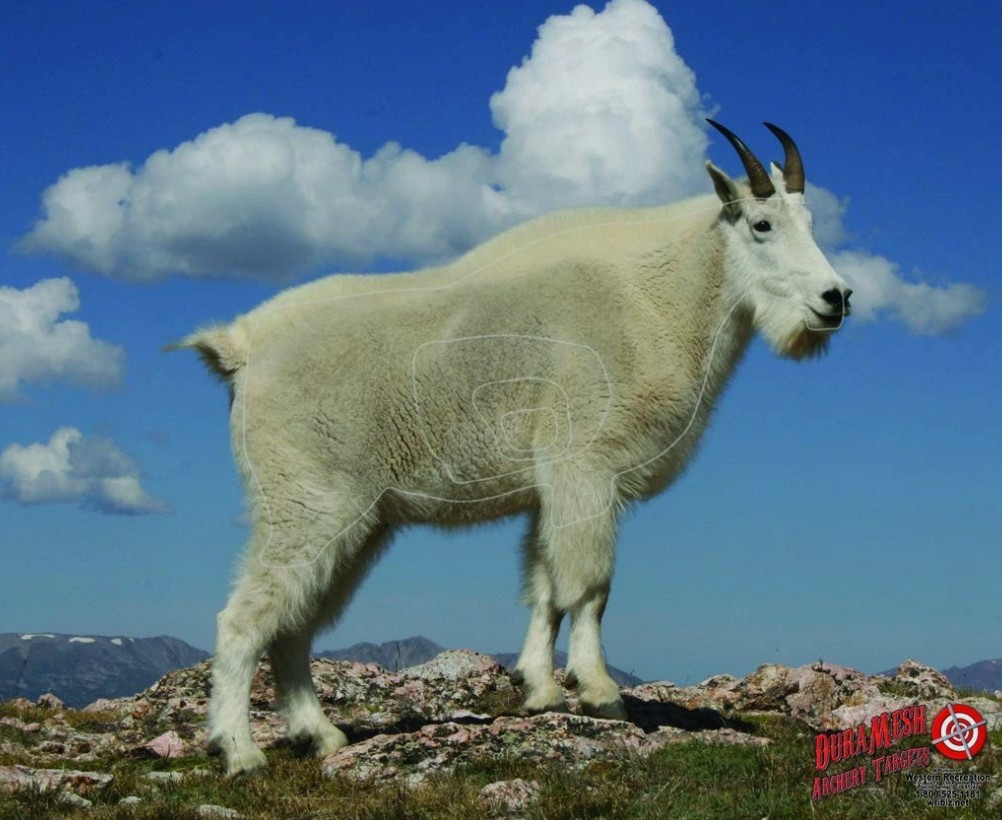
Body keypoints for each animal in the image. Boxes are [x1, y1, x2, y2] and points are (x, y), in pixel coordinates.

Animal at [174, 120, 852, 775]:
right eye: (762, 225)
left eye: (812, 222)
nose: (836, 298)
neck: (659, 295)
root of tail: (241, 349)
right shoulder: (585, 467)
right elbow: (590, 585)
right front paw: (601, 693)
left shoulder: (551, 489)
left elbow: (545, 586)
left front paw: (540, 690)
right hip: (309, 502)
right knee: (244, 619)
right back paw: (240, 752)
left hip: (359, 521)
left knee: (295, 625)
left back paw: (320, 735)